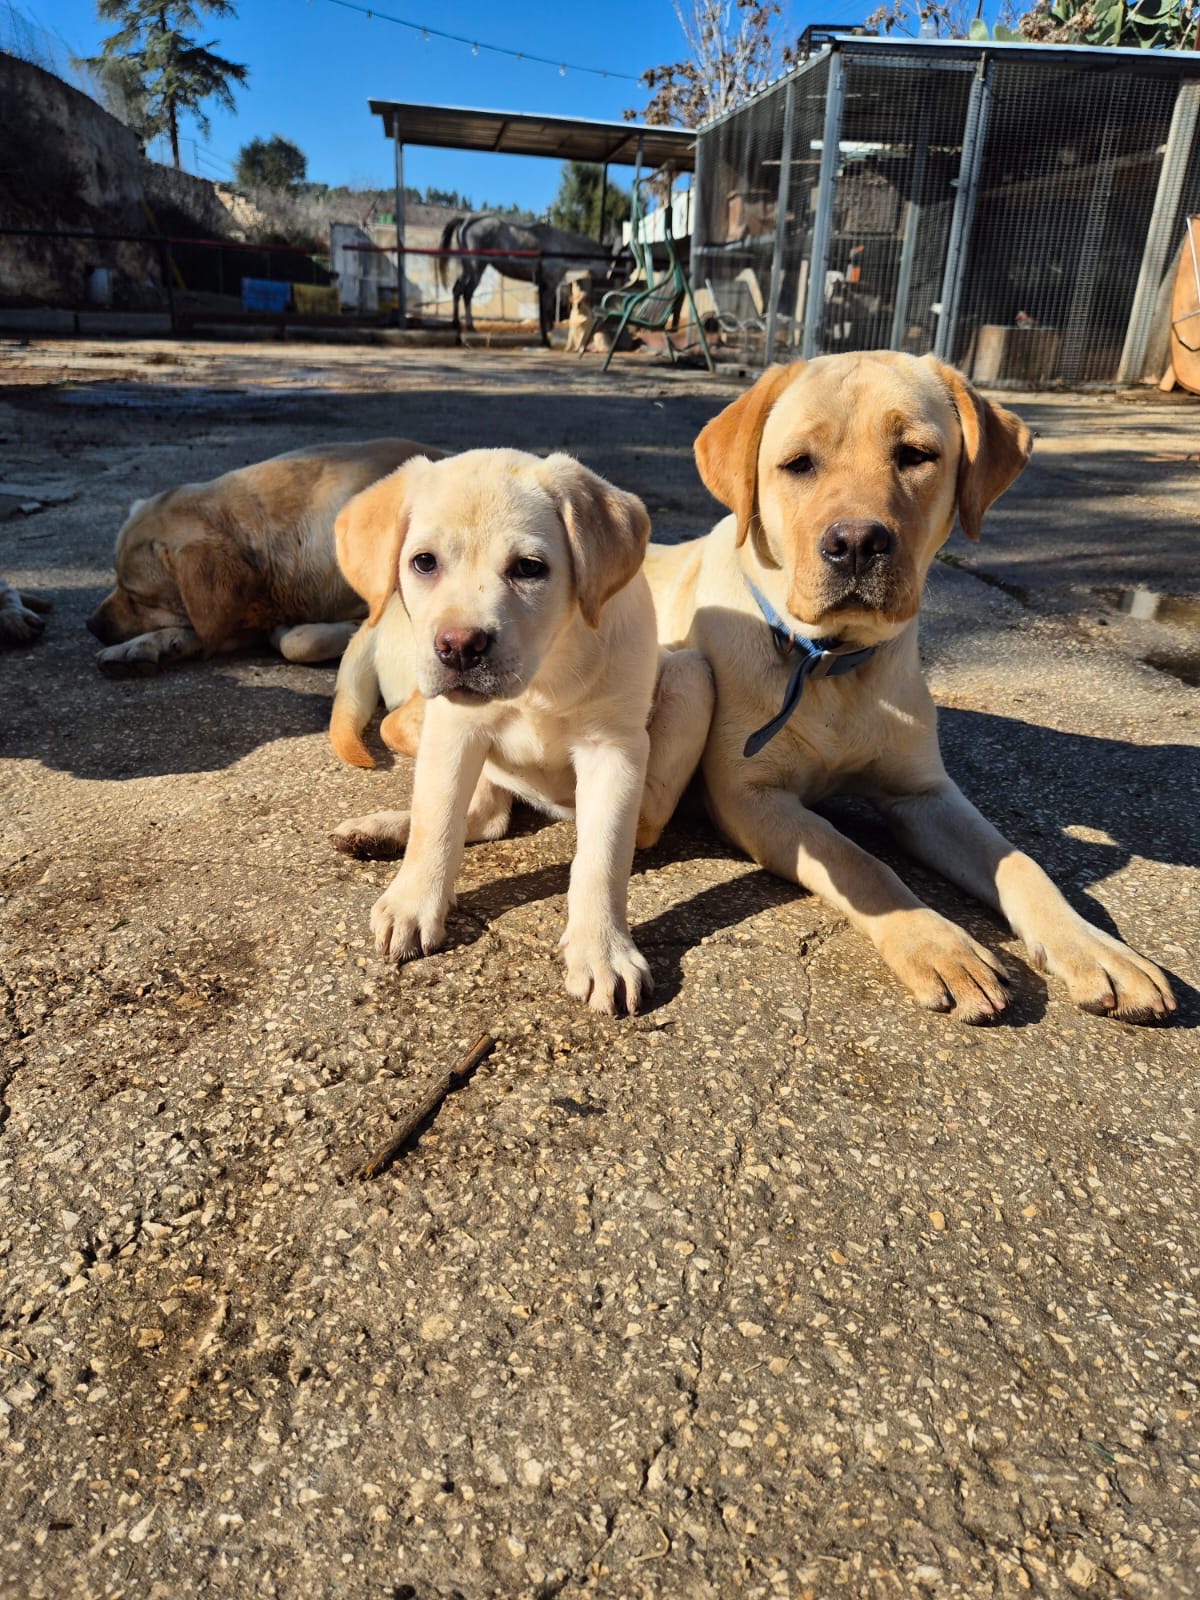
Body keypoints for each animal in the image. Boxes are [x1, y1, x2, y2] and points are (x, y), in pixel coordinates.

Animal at [326, 448, 713, 1011]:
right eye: (424, 562)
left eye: (530, 569)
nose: (459, 647)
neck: (542, 676)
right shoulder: (454, 729)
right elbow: (436, 821)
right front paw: (414, 902)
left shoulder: (613, 751)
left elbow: (602, 856)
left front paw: (602, 950)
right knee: (482, 817)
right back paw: (378, 832)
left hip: (693, 676)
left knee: (627, 829)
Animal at [438, 212, 624, 347]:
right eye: (608, 261)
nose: (605, 282)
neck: (562, 246)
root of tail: (468, 219)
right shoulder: (550, 284)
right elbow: (547, 309)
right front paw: (547, 334)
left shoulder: (542, 285)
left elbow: (542, 310)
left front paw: (545, 333)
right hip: (476, 267)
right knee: (466, 293)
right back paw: (469, 326)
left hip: (468, 268)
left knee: (457, 290)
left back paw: (456, 324)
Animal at [643, 348, 1177, 1024]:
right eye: (797, 463)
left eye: (916, 454)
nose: (855, 542)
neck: (834, 664)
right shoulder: (749, 798)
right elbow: (857, 859)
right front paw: (938, 943)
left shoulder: (925, 793)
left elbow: (1021, 863)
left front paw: (1092, 945)